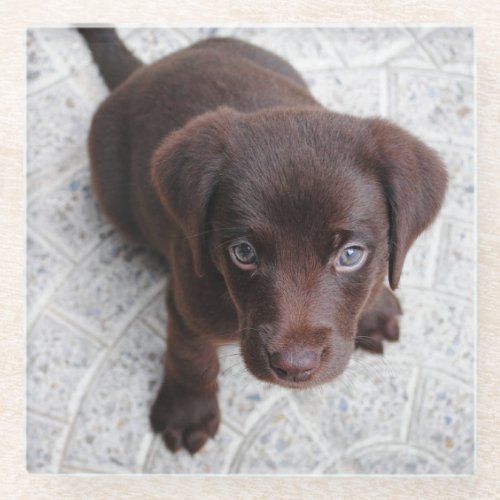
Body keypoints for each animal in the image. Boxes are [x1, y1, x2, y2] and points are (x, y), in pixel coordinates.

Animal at [80, 29, 448, 456]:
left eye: (350, 255)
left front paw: (375, 305)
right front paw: (188, 412)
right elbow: (191, 357)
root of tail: (144, 70)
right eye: (243, 253)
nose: (294, 366)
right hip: (114, 196)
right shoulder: (189, 300)